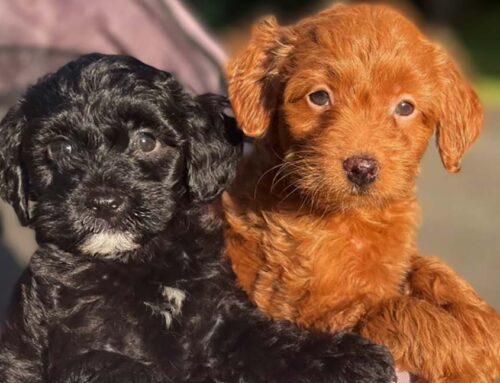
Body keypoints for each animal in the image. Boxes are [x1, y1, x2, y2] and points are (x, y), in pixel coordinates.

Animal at [0, 54, 394, 383]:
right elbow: (124, 367)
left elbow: (271, 339)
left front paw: (348, 356)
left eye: (146, 141)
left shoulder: (222, 316)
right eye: (60, 148)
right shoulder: (79, 346)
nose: (104, 202)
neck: (139, 258)